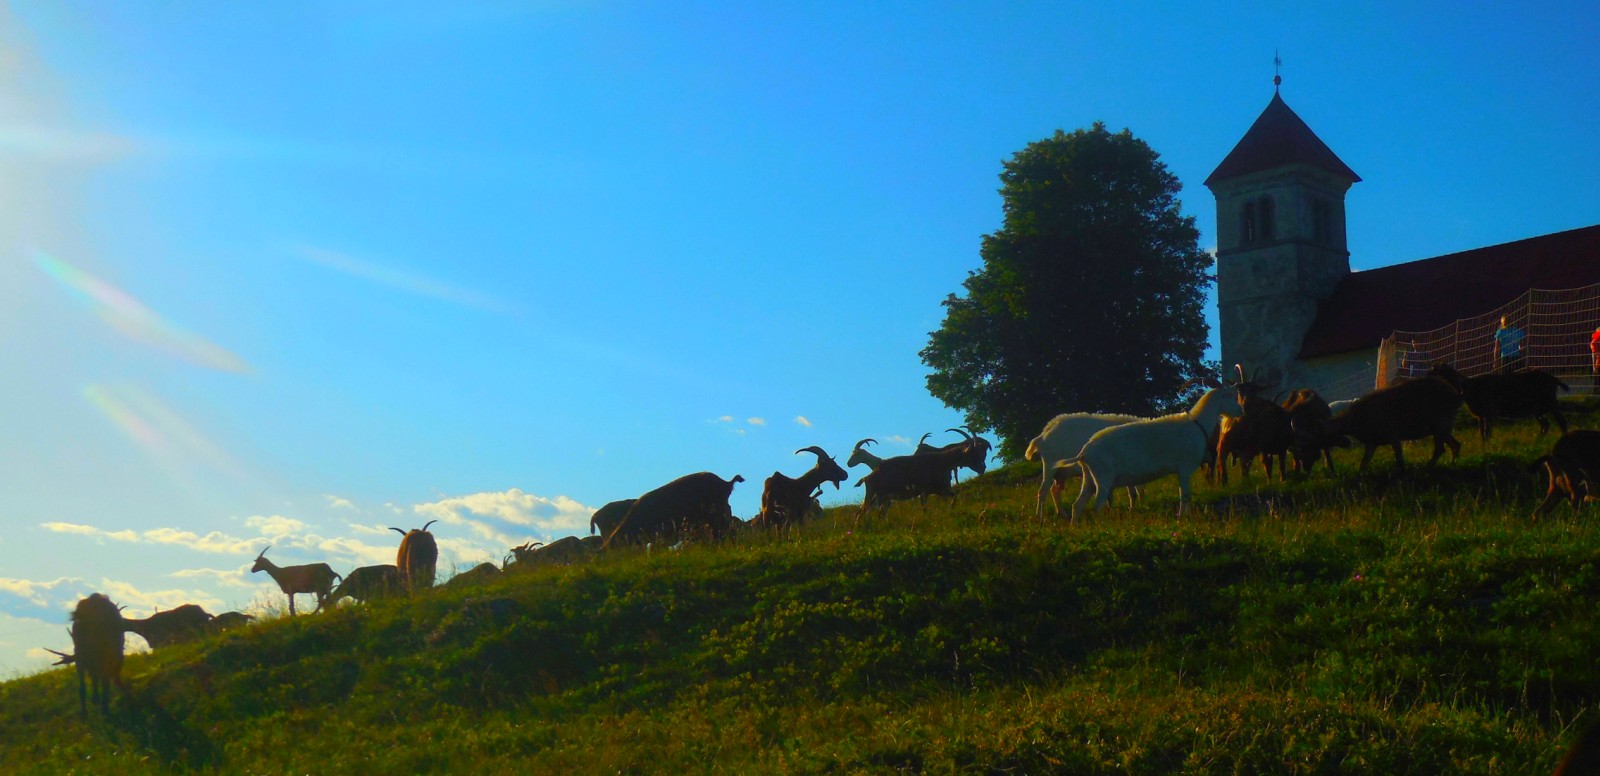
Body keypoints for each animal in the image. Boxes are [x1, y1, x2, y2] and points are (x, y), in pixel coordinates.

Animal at [1057, 385, 1244, 521]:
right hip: (1103, 478)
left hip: (1089, 478)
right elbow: (1185, 495)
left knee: (1077, 505)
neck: (1197, 424)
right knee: (1097, 505)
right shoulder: (1184, 468)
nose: (1241, 411)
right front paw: (1183, 517)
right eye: (1228, 395)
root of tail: (1084, 452)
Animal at [1321, 372, 1463, 472]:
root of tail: (1455, 395)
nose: (1347, 443)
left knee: (1440, 449)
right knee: (1455, 445)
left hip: (1440, 424)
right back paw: (1452, 464)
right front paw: (1359, 477)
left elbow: (1399, 459)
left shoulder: (1393, 436)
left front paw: (1403, 474)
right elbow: (1363, 463)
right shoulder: (1372, 442)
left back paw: (1428, 468)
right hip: (1444, 427)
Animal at [1428, 364, 1570, 441]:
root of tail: (1554, 379)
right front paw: (1484, 447)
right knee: (1546, 424)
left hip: (1551, 401)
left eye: (1435, 369)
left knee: (1561, 421)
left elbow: (1487, 432)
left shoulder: (1489, 412)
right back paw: (1539, 440)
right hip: (1538, 409)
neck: (1468, 386)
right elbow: (1482, 433)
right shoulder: (1481, 414)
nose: (1427, 374)